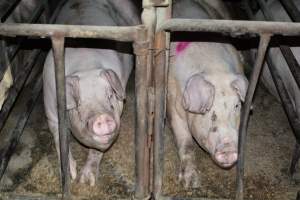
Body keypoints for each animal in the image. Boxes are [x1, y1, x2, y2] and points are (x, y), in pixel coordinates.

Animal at [42, 0, 140, 186]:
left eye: (110, 97)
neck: (85, 67)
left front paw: (86, 182)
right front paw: (71, 176)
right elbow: (59, 137)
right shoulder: (51, 111)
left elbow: (96, 150)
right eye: (79, 105)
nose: (102, 117)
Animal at [169, 0, 248, 188]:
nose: (227, 148)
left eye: (236, 106)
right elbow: (186, 142)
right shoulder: (173, 103)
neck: (214, 68)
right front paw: (191, 183)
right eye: (207, 110)